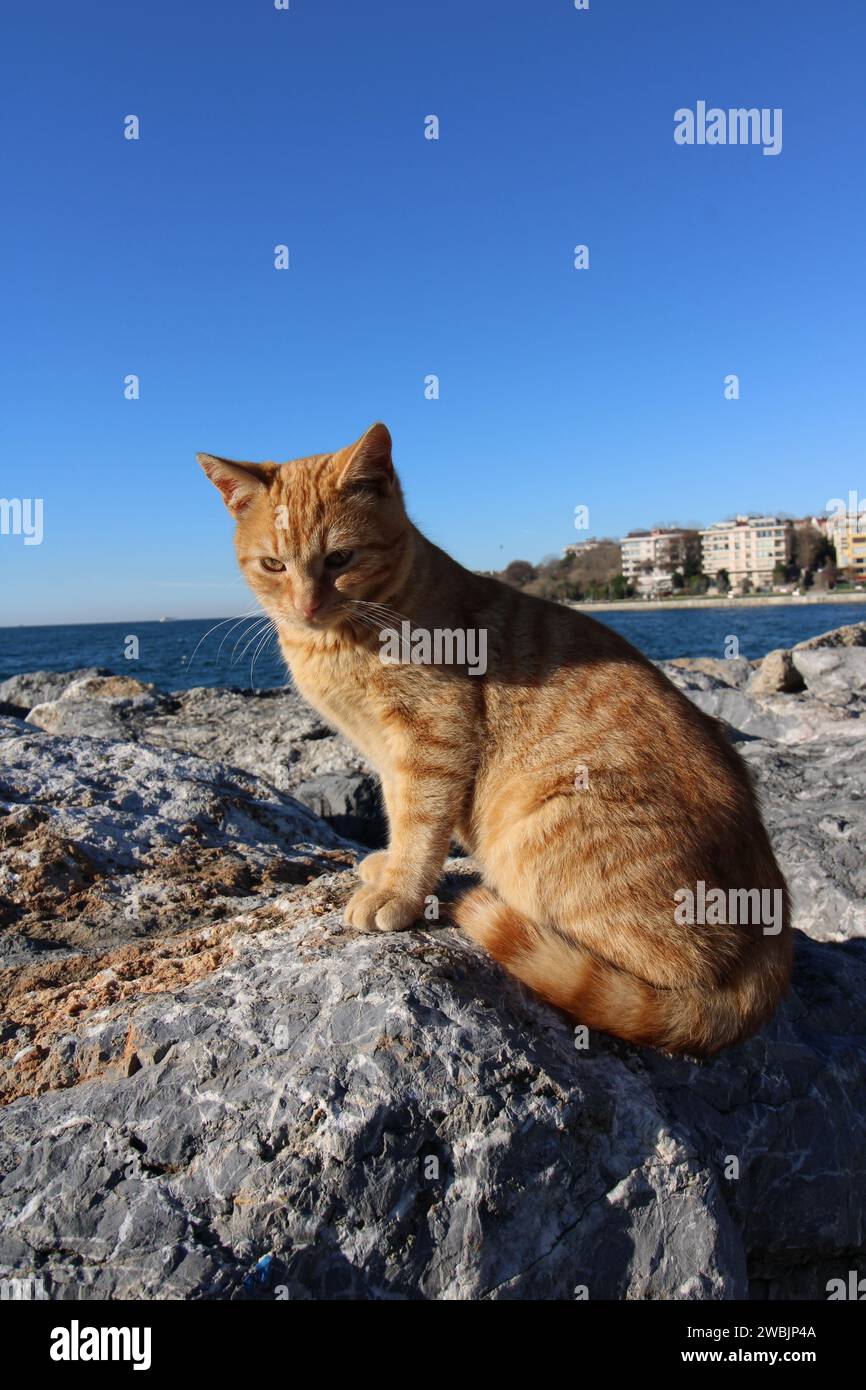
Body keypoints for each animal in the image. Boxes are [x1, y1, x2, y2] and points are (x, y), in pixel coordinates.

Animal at [201, 422, 795, 1050]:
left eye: (340, 558)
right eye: (273, 565)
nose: (306, 605)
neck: (340, 639)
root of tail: (773, 909)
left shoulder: (432, 735)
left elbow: (420, 823)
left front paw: (399, 892)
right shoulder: (387, 755)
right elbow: (398, 812)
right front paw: (389, 867)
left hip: (545, 833)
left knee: (667, 972)